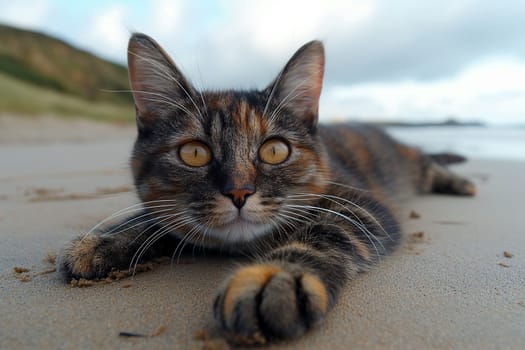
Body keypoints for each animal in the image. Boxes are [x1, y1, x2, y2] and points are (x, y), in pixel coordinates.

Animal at [57, 34, 474, 344]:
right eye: (194, 153)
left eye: (275, 150)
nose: (239, 192)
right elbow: (155, 219)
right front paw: (107, 240)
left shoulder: (357, 203)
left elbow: (324, 232)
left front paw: (276, 277)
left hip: (409, 161)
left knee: (430, 164)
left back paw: (462, 183)